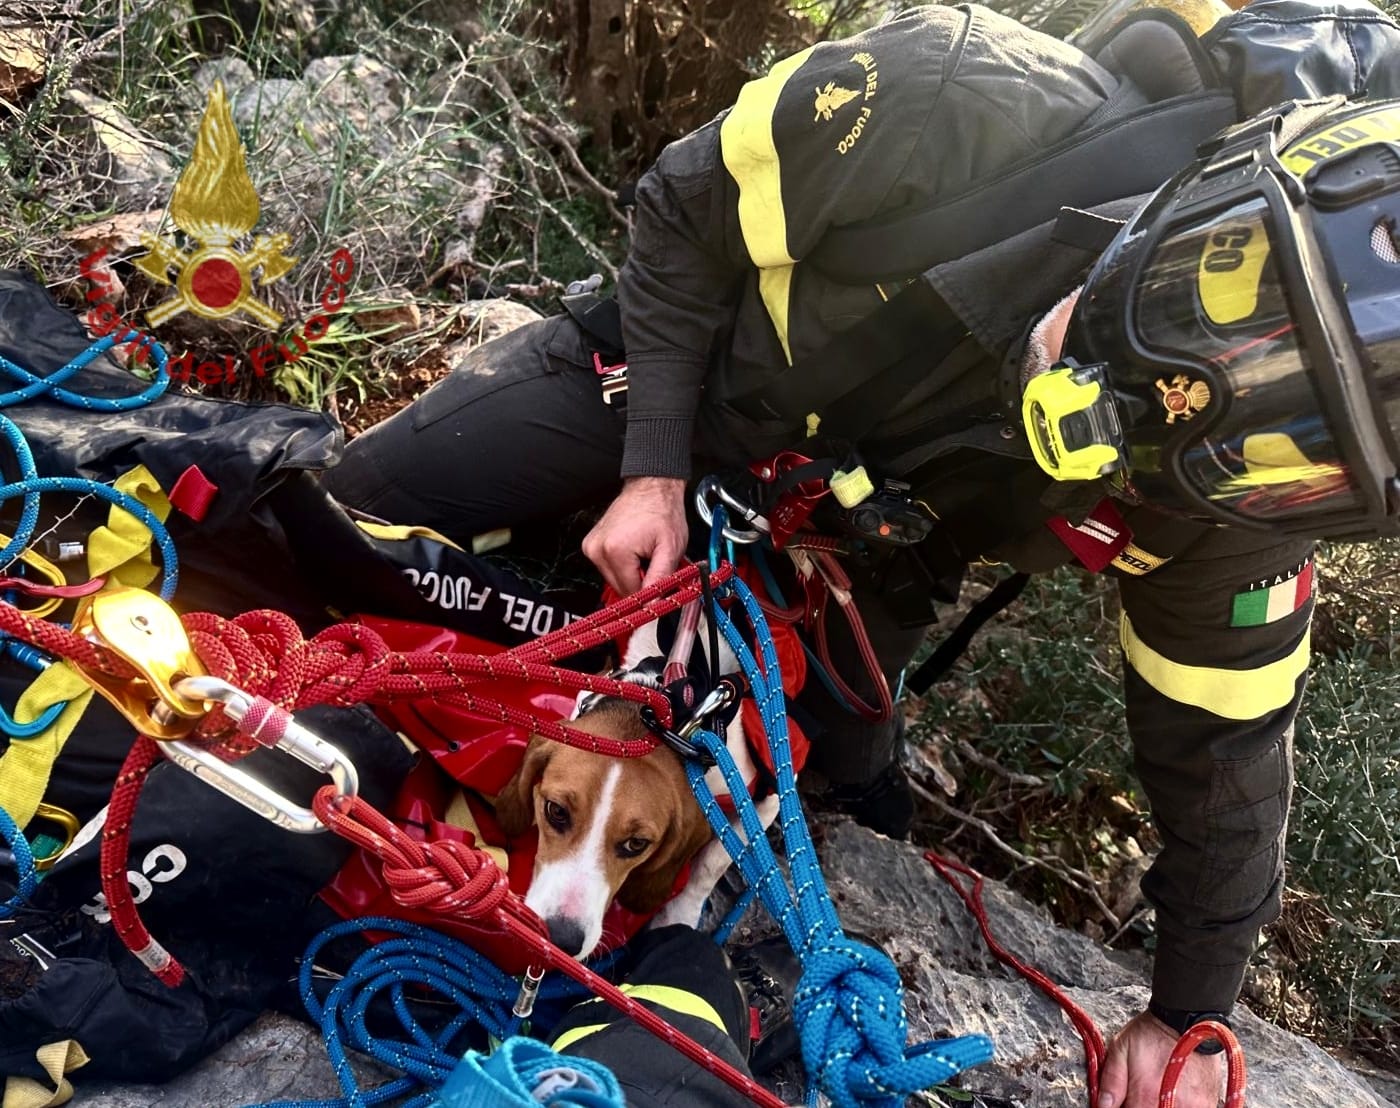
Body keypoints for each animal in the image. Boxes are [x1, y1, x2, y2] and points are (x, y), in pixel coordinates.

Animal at [494, 614, 775, 958]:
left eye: (636, 844)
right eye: (556, 811)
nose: (561, 939)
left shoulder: (764, 800)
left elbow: (711, 865)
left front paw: (677, 917)